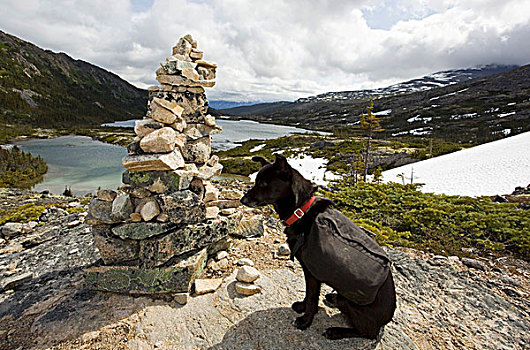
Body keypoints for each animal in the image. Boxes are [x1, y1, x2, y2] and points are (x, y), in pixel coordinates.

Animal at [239, 155, 392, 340]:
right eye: (256, 181)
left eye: (263, 183)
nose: (242, 200)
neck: (301, 211)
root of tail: (387, 319)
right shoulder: (308, 270)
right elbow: (308, 294)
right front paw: (302, 307)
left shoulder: (313, 272)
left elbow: (312, 297)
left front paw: (305, 321)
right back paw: (332, 298)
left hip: (355, 308)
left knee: (366, 334)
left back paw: (336, 331)